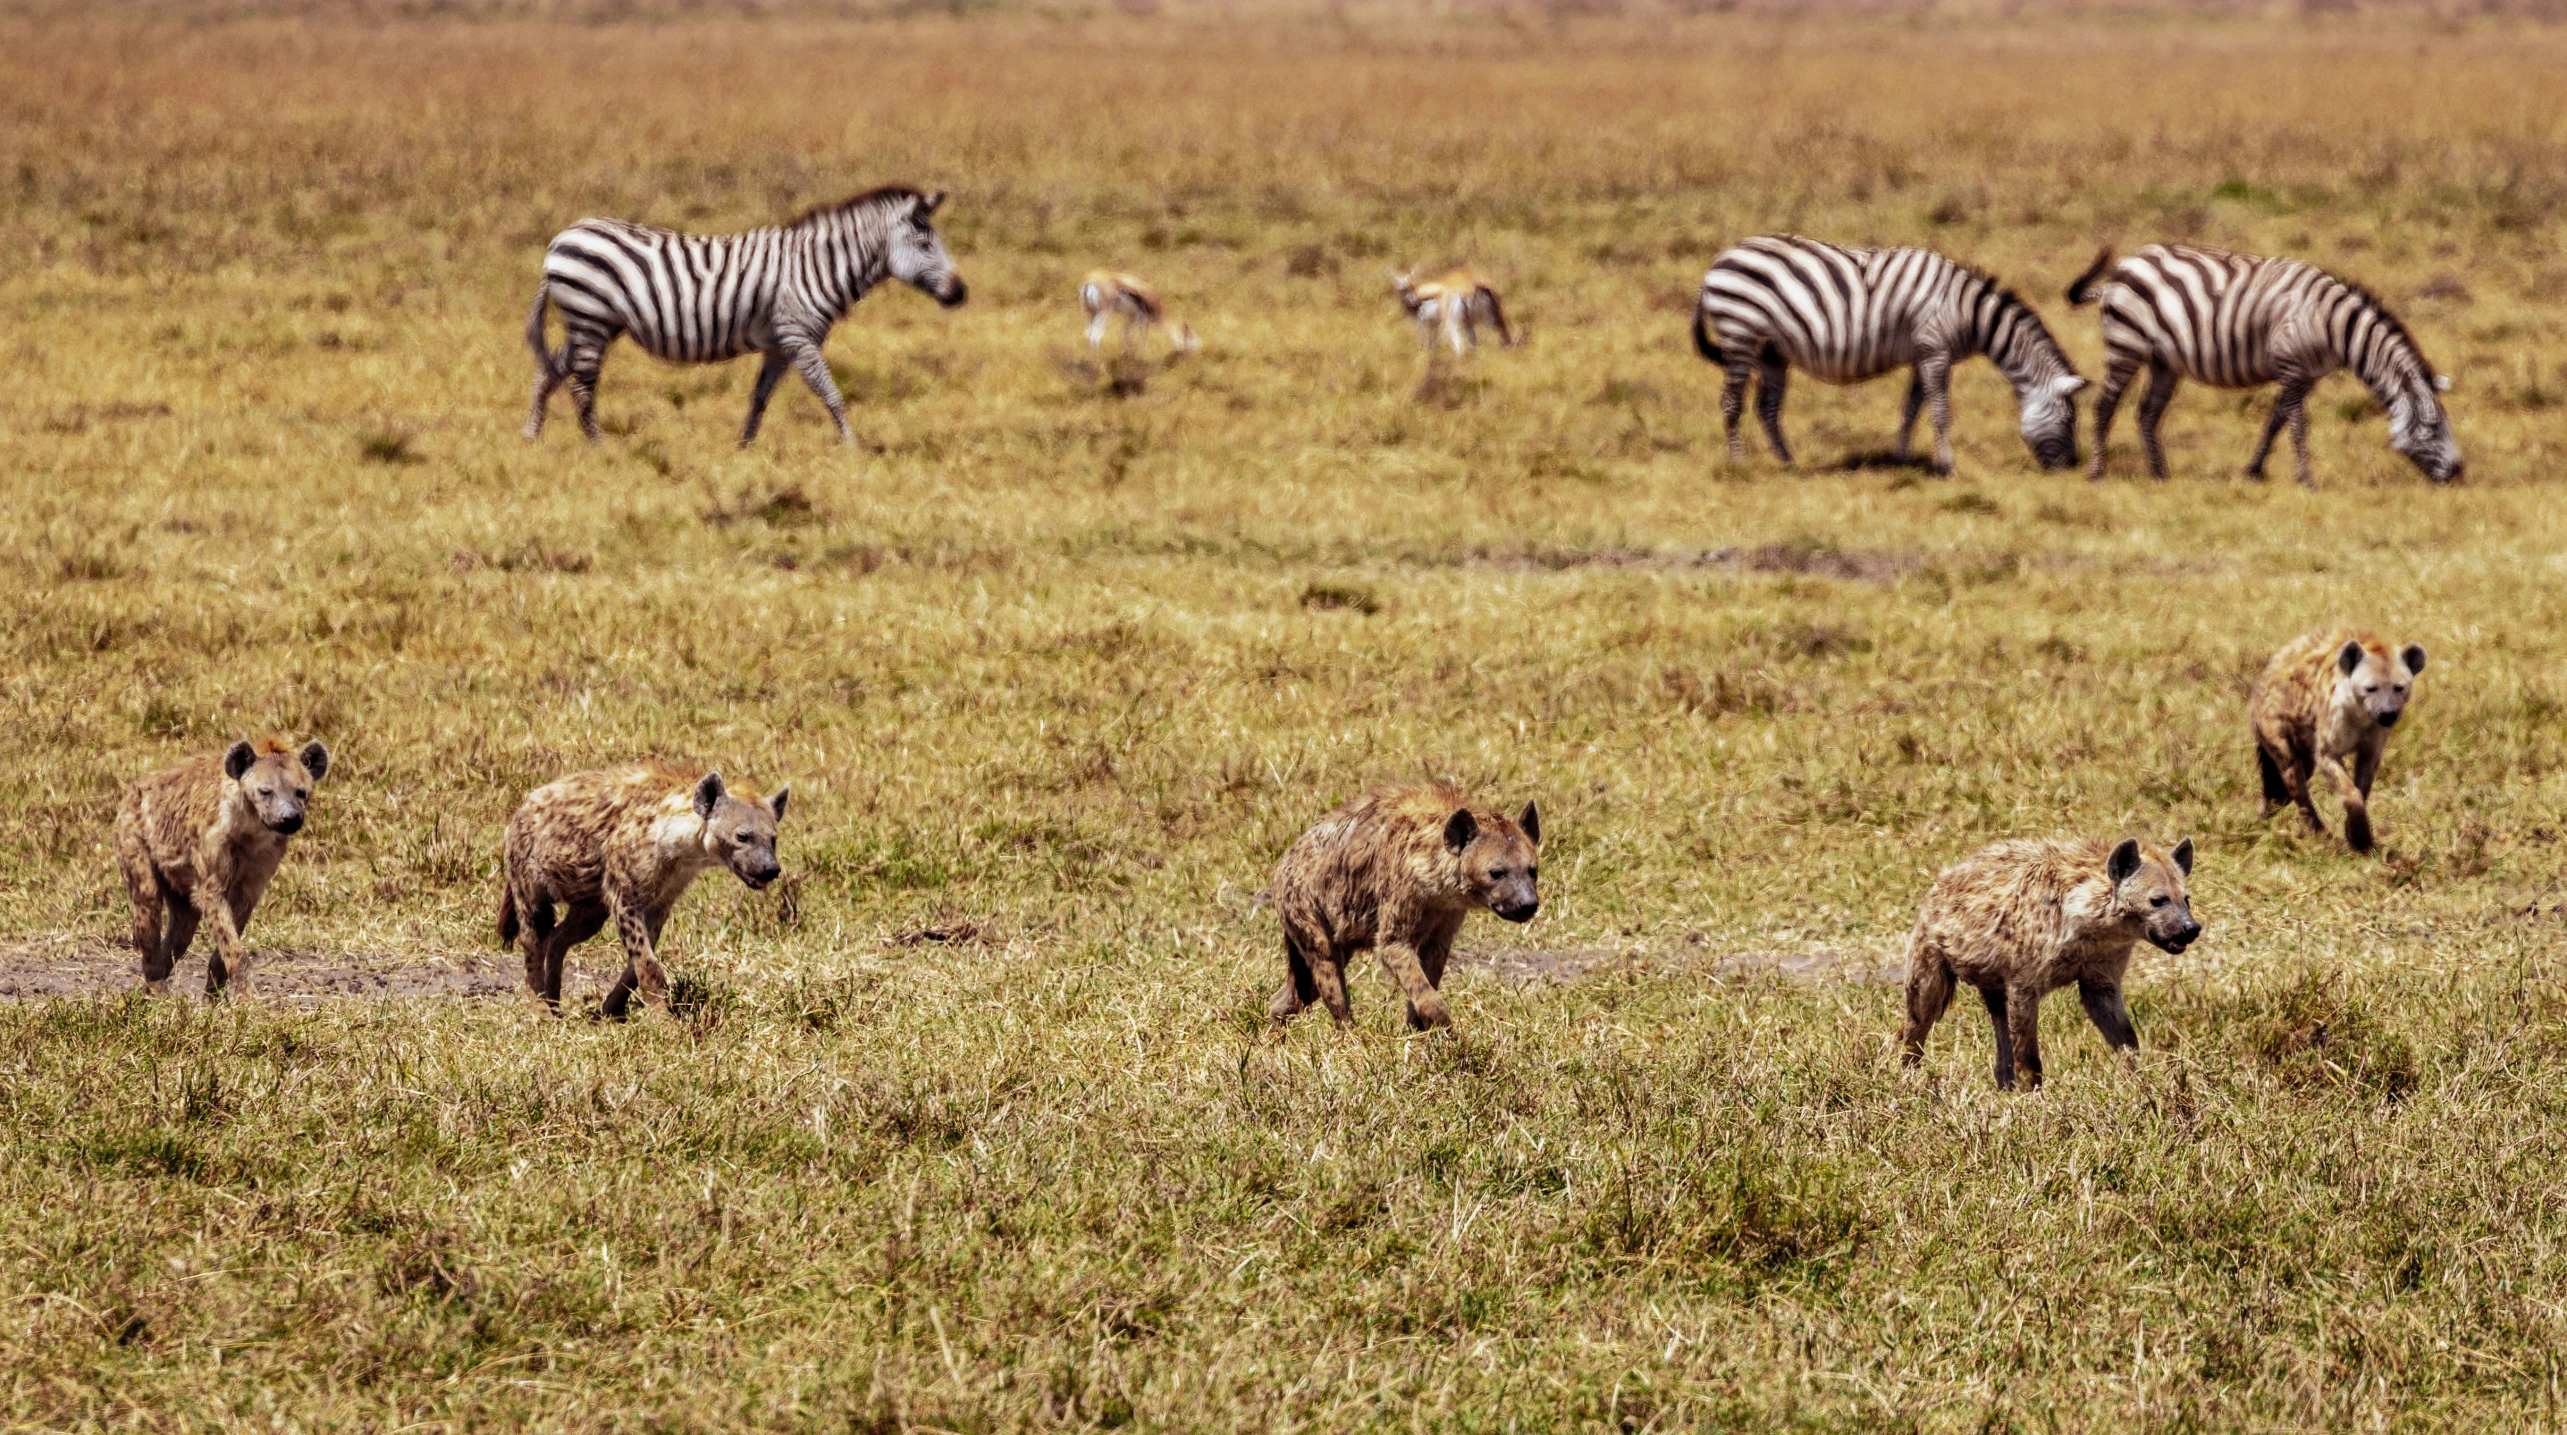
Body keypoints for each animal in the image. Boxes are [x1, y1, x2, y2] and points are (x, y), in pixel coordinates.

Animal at [521, 184, 965, 446]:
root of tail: (560, 238)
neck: (818, 266)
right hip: (590, 318)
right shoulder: (799, 337)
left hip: (592, 323)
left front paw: (744, 447)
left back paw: (531, 437)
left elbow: (759, 398)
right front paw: (853, 448)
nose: (962, 293)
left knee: (549, 370)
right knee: (581, 387)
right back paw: (599, 448)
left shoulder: (780, 344)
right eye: (925, 244)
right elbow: (832, 394)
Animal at [1683, 233, 2084, 474]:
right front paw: (1949, 467)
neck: (1970, 312)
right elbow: (1940, 412)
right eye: (2068, 421)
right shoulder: (1936, 350)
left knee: (1766, 407)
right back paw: (1738, 463)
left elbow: (1911, 410)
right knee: (1732, 402)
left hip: (1771, 351)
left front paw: (1901, 459)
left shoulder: (1923, 354)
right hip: (1740, 333)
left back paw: (1788, 463)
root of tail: (1718, 261)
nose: (2071, 467)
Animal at [2063, 246, 2464, 487]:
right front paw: (2306, 478)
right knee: (2105, 406)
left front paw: (2254, 470)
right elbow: (2298, 426)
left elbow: (2276, 420)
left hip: (2164, 360)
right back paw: (2097, 473)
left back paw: (2160, 474)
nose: (2459, 474)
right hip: (2125, 345)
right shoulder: (2291, 365)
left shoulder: (2305, 376)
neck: (2331, 325)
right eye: (2433, 427)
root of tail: (2121, 267)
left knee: (2147, 413)